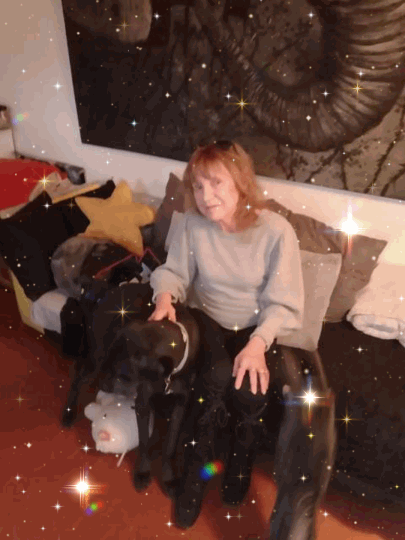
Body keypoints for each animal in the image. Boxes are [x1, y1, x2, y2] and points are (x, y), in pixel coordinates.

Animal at [61, 282, 200, 496]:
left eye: (123, 375)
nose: (104, 386)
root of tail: (107, 290)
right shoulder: (142, 401)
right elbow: (143, 441)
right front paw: (142, 472)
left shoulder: (181, 403)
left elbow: (170, 444)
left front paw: (168, 478)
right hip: (96, 358)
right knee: (78, 375)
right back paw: (68, 413)